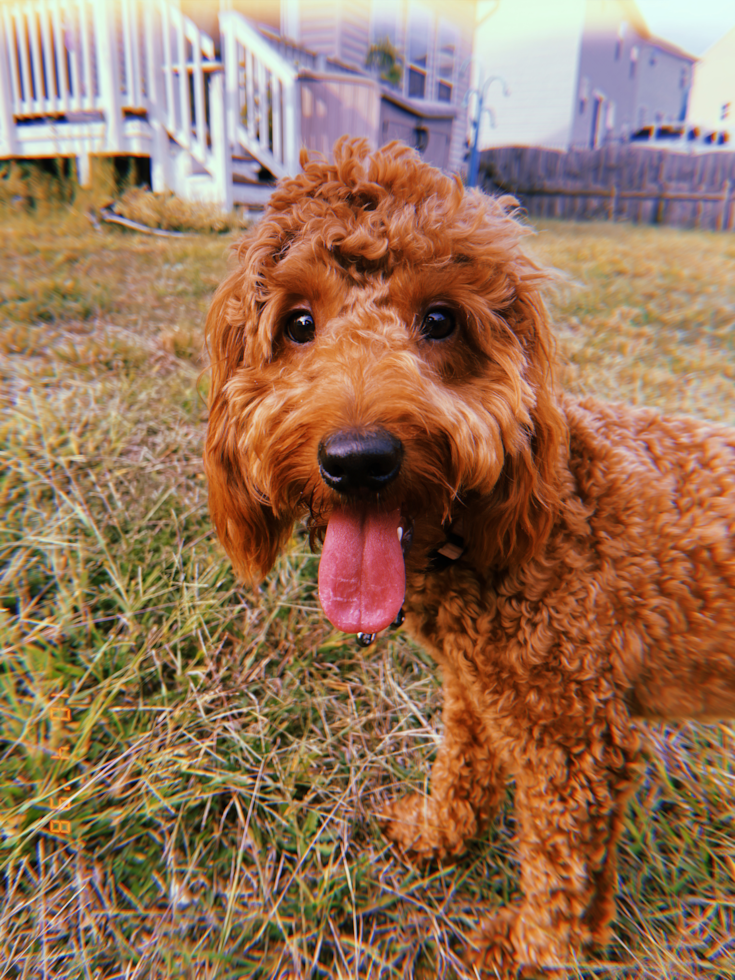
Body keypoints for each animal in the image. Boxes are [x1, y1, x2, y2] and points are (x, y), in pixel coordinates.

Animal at [203, 140, 735, 980]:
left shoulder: (573, 738)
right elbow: (462, 767)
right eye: (297, 324)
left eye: (440, 319)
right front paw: (439, 835)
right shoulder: (480, 688)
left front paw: (534, 947)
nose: (358, 460)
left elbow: (560, 859)